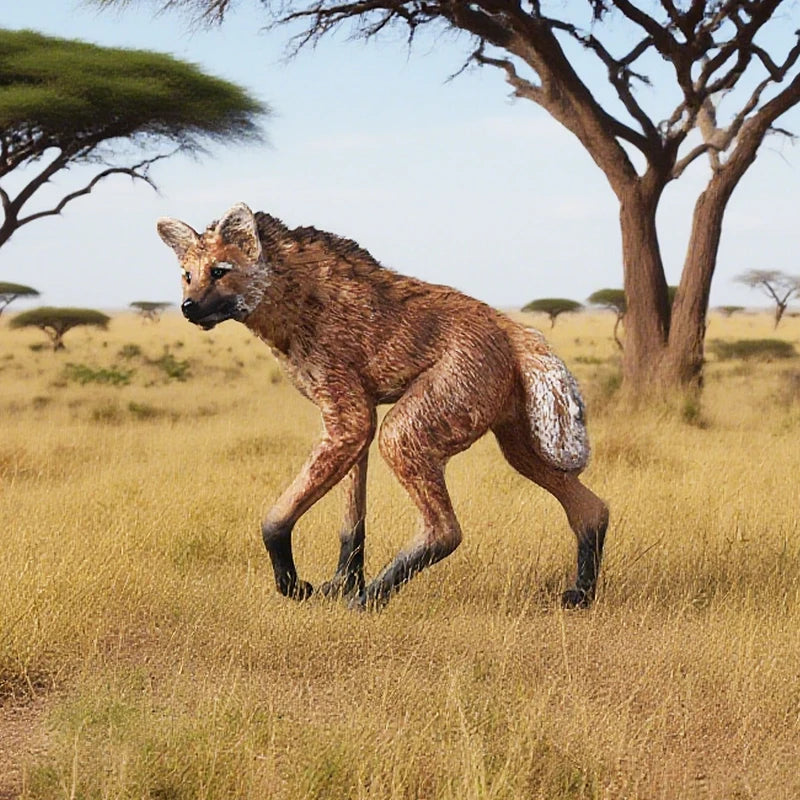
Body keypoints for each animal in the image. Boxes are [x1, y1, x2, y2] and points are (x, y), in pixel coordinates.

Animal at [157, 203, 608, 609]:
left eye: (219, 271)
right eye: (187, 275)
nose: (188, 307)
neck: (290, 302)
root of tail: (510, 326)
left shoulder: (352, 420)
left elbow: (274, 519)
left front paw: (296, 585)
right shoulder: (352, 420)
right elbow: (351, 524)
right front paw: (340, 584)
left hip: (405, 431)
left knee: (446, 530)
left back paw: (371, 598)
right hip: (516, 443)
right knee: (592, 509)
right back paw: (581, 595)